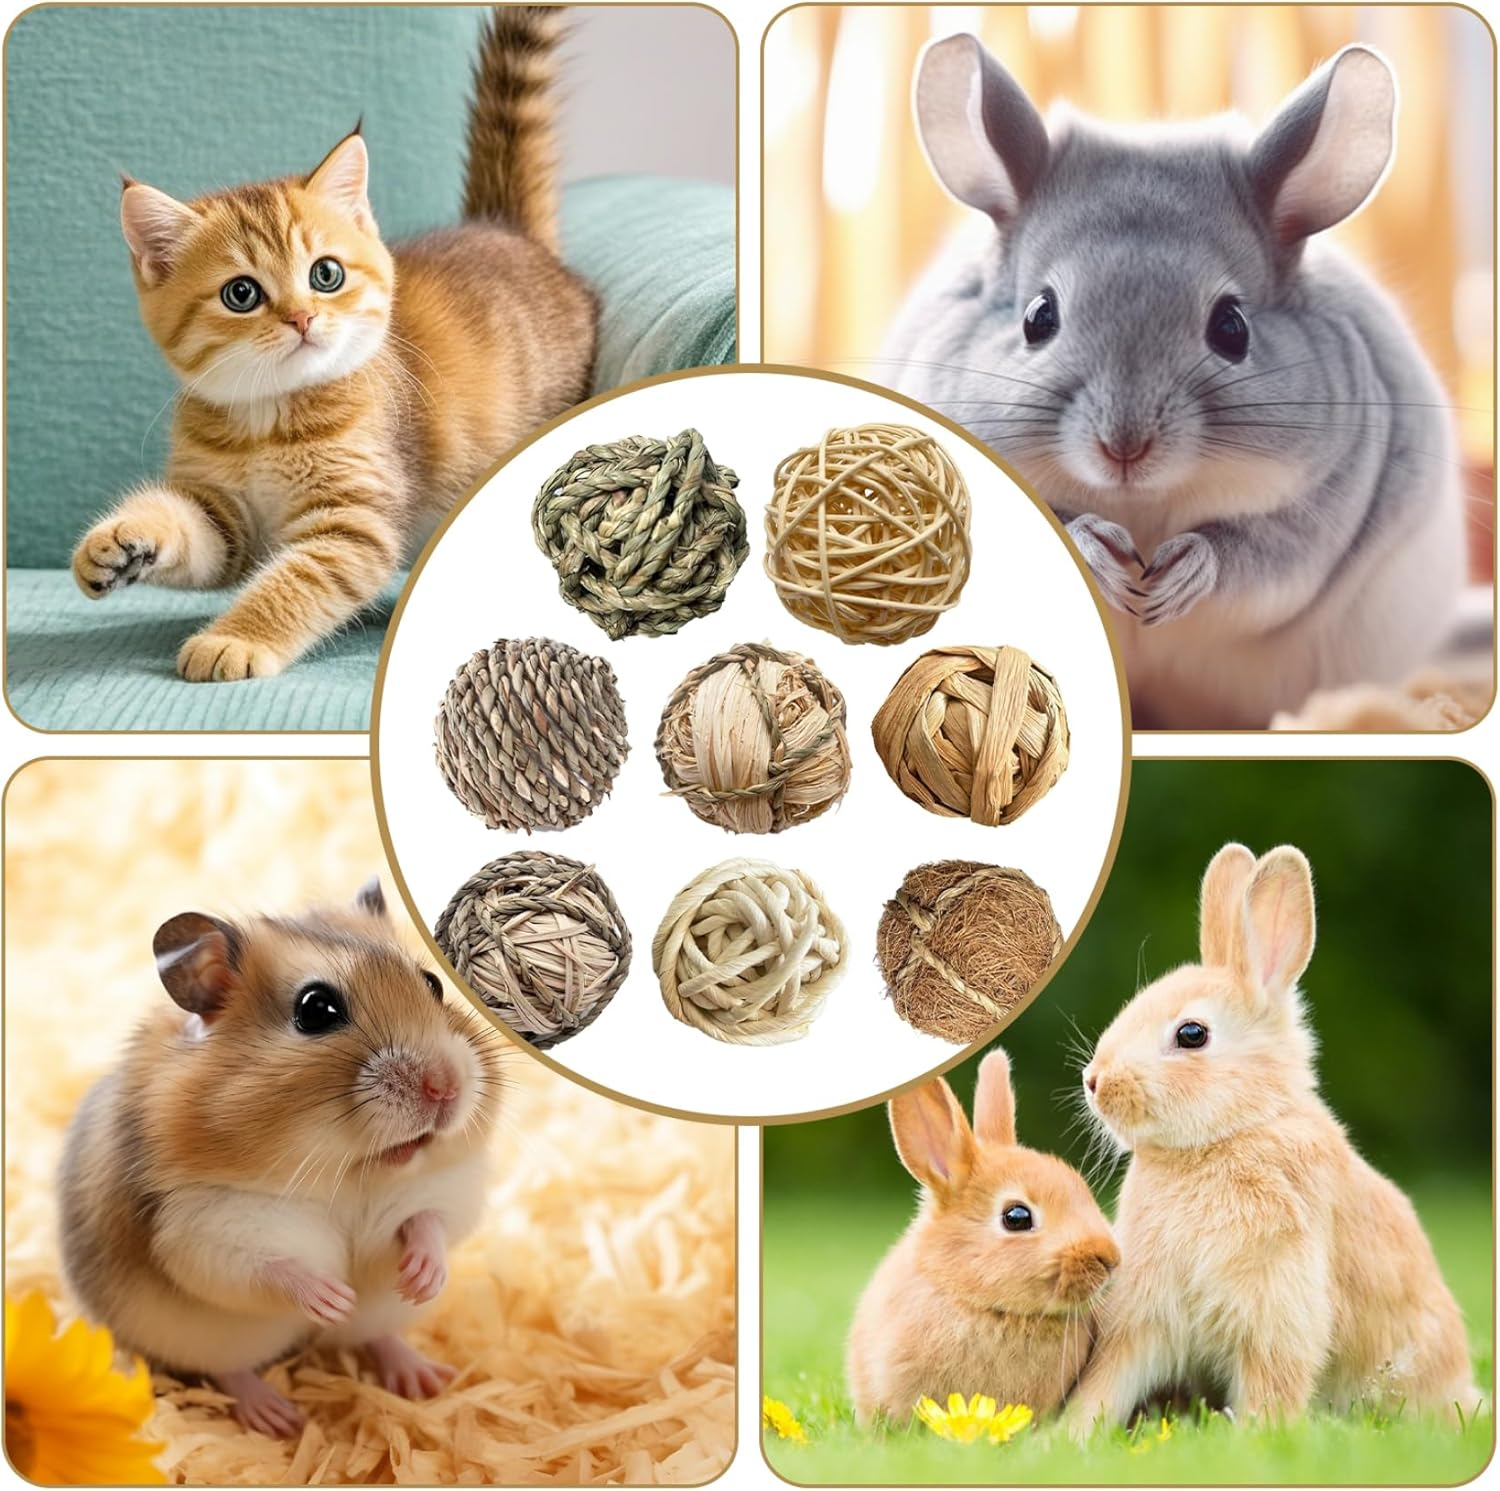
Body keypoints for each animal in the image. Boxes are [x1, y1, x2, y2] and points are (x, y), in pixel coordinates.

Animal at [58, 879, 503, 1438]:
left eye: (433, 983)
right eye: (316, 1010)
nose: (445, 1087)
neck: (349, 1172)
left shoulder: (444, 1186)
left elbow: (431, 1222)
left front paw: (422, 1279)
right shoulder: (204, 1227)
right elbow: (270, 1269)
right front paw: (333, 1299)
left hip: (382, 1313)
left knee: (376, 1336)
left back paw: (424, 1378)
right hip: (205, 1338)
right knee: (229, 1371)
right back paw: (277, 1416)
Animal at [884, 36, 1467, 729]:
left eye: (1232, 328)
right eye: (1037, 318)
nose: (1124, 449)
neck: (1143, 502)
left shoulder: (1321, 515)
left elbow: (1257, 558)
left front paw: (1175, 577)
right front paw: (1103, 557)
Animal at [1068, 843, 1480, 1433]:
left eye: (1191, 1034)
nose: (1094, 1081)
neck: (1233, 1131)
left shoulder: (1278, 1307)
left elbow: (1272, 1386)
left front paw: (1258, 1438)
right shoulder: (1143, 1313)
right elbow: (1107, 1383)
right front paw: (1063, 1437)